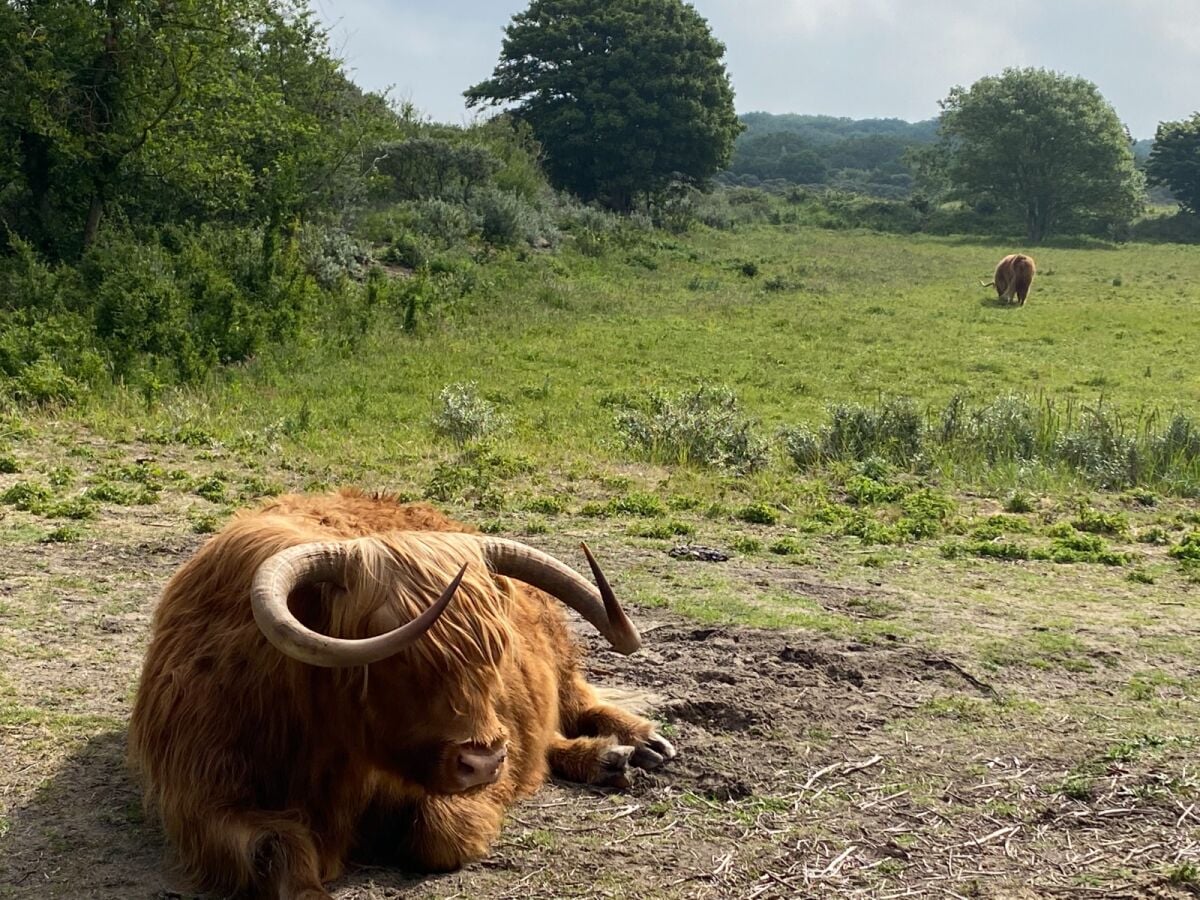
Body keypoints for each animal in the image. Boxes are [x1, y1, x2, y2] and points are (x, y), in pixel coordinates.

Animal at [133, 494, 676, 900]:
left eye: (498, 648)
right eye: (392, 658)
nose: (483, 762)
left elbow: (439, 833)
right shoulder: (204, 799)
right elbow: (276, 847)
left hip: (557, 660)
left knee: (572, 703)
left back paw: (639, 744)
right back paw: (608, 758)